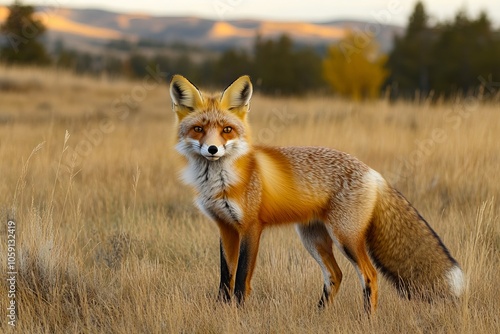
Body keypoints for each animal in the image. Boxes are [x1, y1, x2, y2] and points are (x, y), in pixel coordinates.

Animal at [170, 74, 462, 314]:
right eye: (198, 129)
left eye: (226, 130)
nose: (212, 150)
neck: (220, 181)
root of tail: (373, 172)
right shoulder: (226, 228)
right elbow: (224, 278)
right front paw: (221, 311)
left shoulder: (251, 227)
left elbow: (241, 278)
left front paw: (239, 313)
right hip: (313, 238)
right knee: (336, 275)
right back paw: (318, 315)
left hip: (345, 238)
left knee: (370, 275)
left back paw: (366, 319)